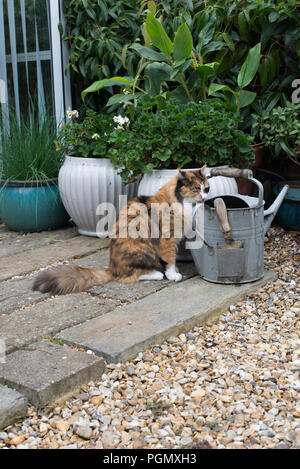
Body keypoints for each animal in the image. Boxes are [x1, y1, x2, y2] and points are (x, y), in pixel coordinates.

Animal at [33, 166, 209, 294]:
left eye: (206, 188)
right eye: (195, 188)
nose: (204, 198)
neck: (180, 202)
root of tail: (112, 268)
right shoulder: (168, 239)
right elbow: (170, 258)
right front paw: (173, 274)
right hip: (141, 248)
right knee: (131, 276)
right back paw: (157, 273)